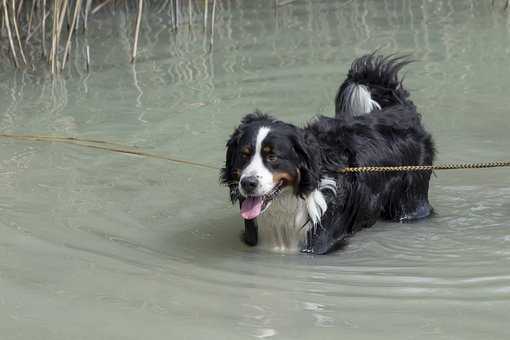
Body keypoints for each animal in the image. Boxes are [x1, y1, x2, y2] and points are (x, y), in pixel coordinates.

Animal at [219, 53, 434, 255]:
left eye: (272, 157)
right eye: (244, 155)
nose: (248, 183)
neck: (287, 205)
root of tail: (401, 109)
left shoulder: (320, 245)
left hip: (411, 201)